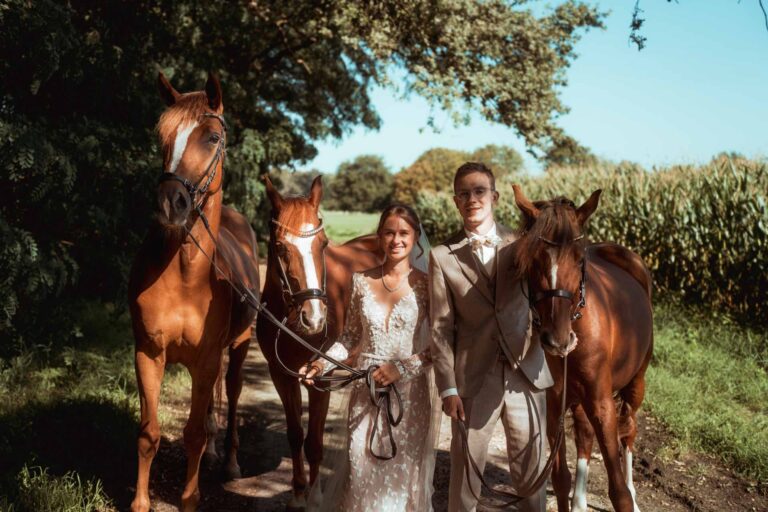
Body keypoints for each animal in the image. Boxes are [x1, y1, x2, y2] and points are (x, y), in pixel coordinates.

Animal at [127, 72, 258, 512]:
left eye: (213, 138)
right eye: (162, 136)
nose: (172, 203)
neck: (187, 276)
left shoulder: (205, 360)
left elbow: (194, 434)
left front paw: (189, 498)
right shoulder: (149, 354)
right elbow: (149, 433)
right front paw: (140, 503)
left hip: (238, 347)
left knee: (231, 396)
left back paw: (230, 461)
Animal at [255, 175, 380, 508]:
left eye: (323, 244)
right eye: (280, 246)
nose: (313, 317)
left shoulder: (320, 379)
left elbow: (314, 441)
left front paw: (315, 497)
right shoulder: (281, 375)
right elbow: (296, 434)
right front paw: (299, 494)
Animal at [510, 186, 656, 512]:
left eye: (579, 260)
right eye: (531, 260)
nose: (558, 341)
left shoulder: (602, 403)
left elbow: (618, 492)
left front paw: (626, 495)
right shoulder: (554, 405)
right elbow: (560, 477)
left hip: (636, 383)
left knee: (629, 431)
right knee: (585, 436)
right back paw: (580, 501)